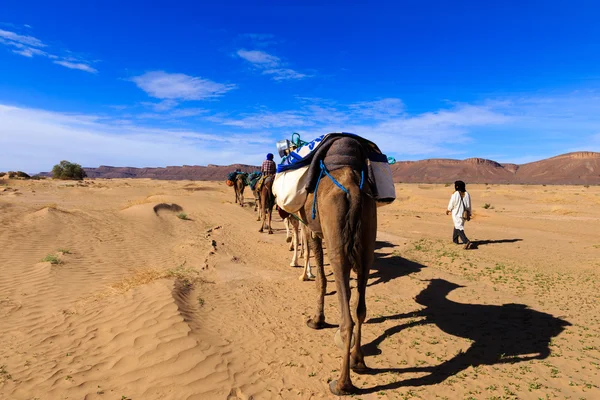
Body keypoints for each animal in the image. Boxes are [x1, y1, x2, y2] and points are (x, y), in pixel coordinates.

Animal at [298, 139, 378, 396]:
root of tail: (353, 187)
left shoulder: (312, 230)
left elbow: (321, 280)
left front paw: (316, 320)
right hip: (367, 240)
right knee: (360, 308)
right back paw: (358, 361)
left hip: (337, 240)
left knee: (347, 320)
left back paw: (342, 383)